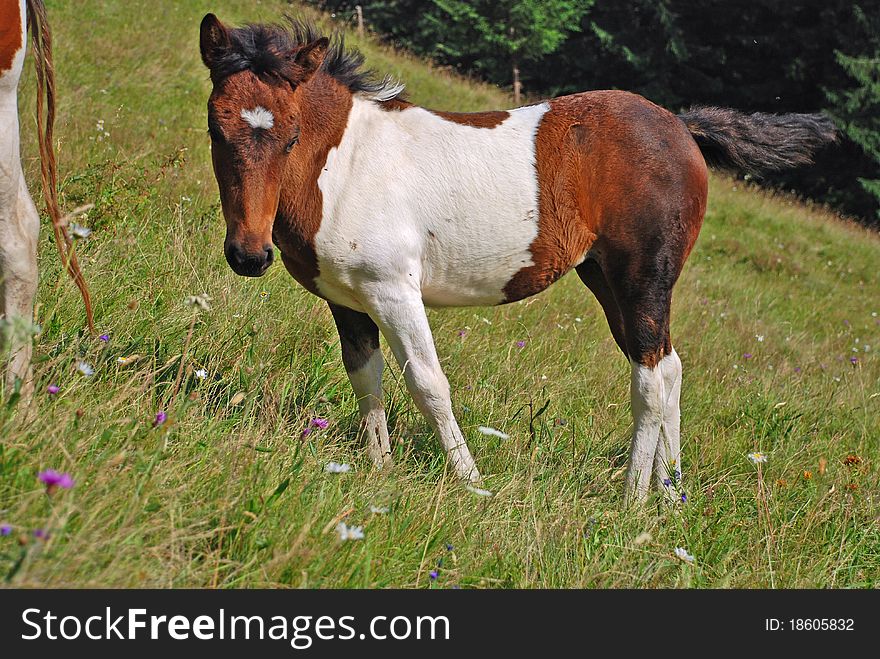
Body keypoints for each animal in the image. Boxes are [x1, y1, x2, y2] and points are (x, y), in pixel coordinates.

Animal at [201, 16, 840, 506]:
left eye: (290, 136)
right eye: (215, 127)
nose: (249, 255)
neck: (346, 163)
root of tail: (683, 126)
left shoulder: (393, 290)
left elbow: (429, 382)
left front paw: (470, 482)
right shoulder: (348, 299)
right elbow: (366, 376)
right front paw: (377, 470)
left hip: (641, 277)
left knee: (649, 376)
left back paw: (632, 502)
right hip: (605, 278)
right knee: (668, 365)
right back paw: (671, 494)